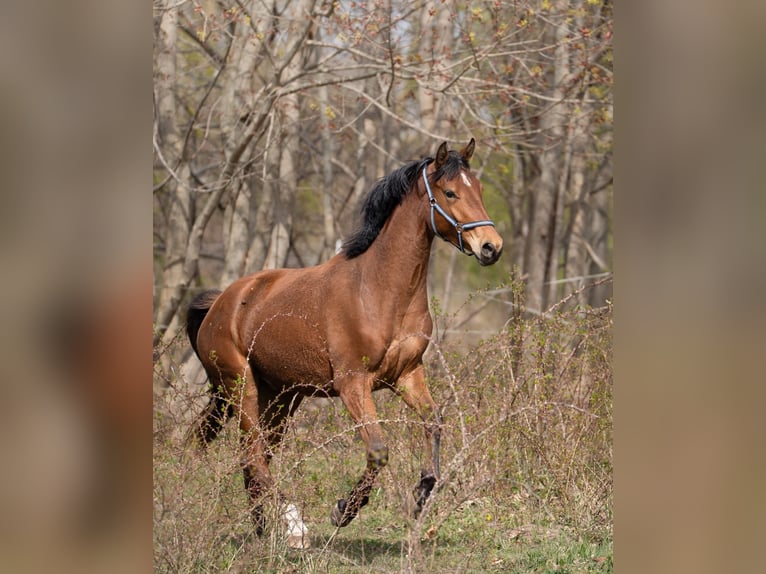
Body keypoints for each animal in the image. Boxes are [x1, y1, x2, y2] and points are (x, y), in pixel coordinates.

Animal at [186, 139, 503, 548]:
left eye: (477, 188)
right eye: (450, 193)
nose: (491, 247)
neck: (379, 290)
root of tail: (218, 304)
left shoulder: (407, 375)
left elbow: (434, 423)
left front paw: (419, 496)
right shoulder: (353, 384)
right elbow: (379, 450)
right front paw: (343, 511)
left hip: (282, 398)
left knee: (252, 457)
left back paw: (262, 530)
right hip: (243, 388)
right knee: (254, 456)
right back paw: (294, 526)